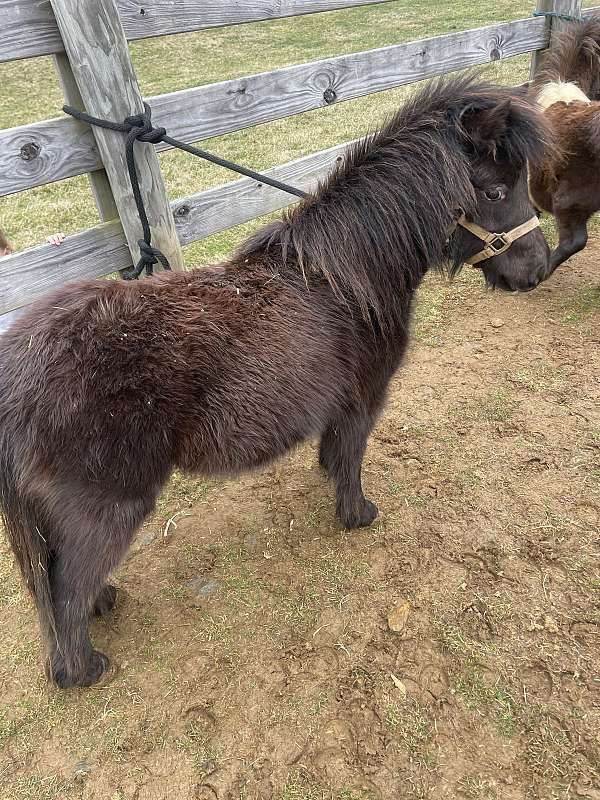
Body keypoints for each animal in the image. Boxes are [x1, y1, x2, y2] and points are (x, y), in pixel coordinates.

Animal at [0, 74, 553, 689]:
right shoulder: (364, 398)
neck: (348, 278)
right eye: (496, 193)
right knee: (66, 591)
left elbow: (335, 454)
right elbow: (352, 458)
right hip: (108, 506)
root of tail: (17, 374)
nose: (538, 270)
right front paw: (357, 515)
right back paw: (85, 667)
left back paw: (105, 602)